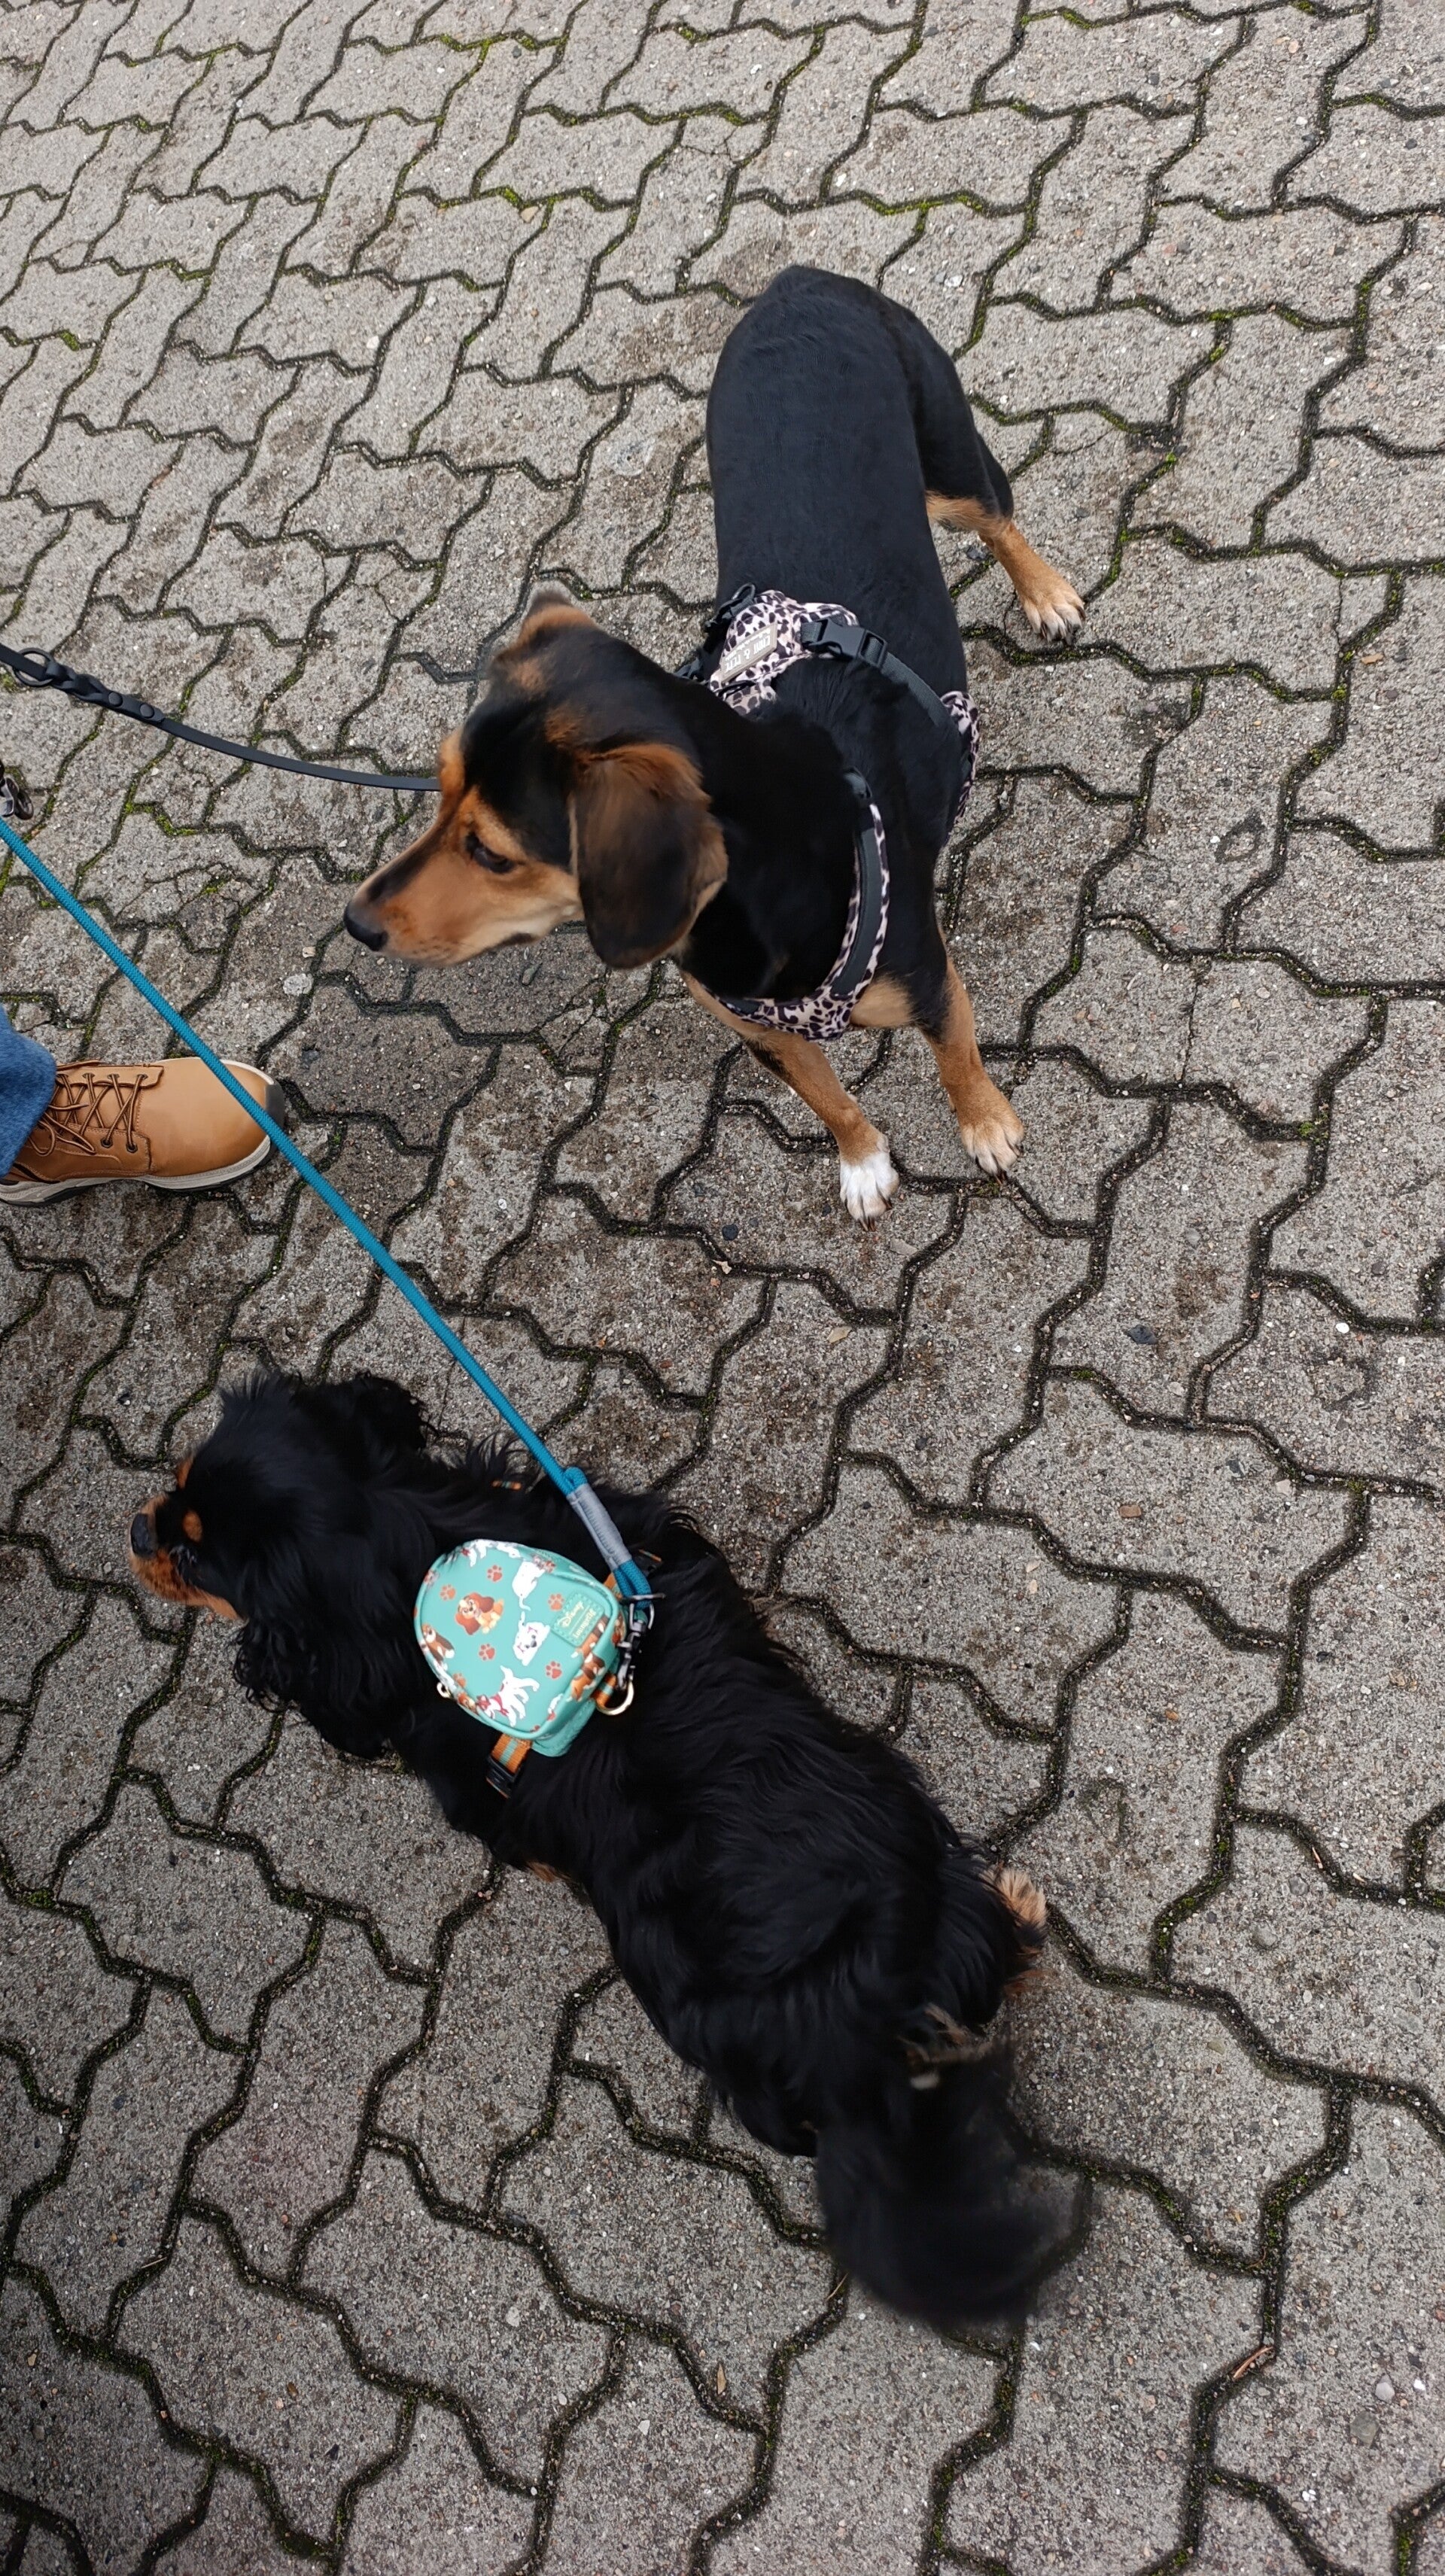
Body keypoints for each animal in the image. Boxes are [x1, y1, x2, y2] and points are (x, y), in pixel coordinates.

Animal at [342, 266, 1083, 1221]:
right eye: (436, 793)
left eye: (493, 853)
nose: (356, 924)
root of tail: (797, 283)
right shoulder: (758, 1031)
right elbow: (827, 1098)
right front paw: (862, 1162)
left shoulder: (930, 980)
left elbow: (957, 1060)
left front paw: (986, 1127)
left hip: (950, 455)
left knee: (995, 518)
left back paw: (1046, 592)